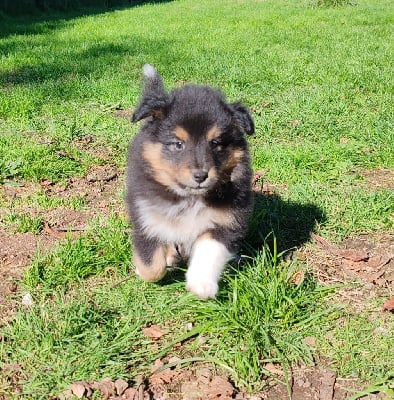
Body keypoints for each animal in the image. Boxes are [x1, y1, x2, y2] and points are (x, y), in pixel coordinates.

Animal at [126, 64, 255, 298]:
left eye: (216, 143)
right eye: (178, 144)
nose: (200, 176)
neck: (189, 198)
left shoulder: (225, 221)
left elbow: (210, 251)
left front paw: (201, 284)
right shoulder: (146, 218)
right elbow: (152, 267)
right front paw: (144, 269)